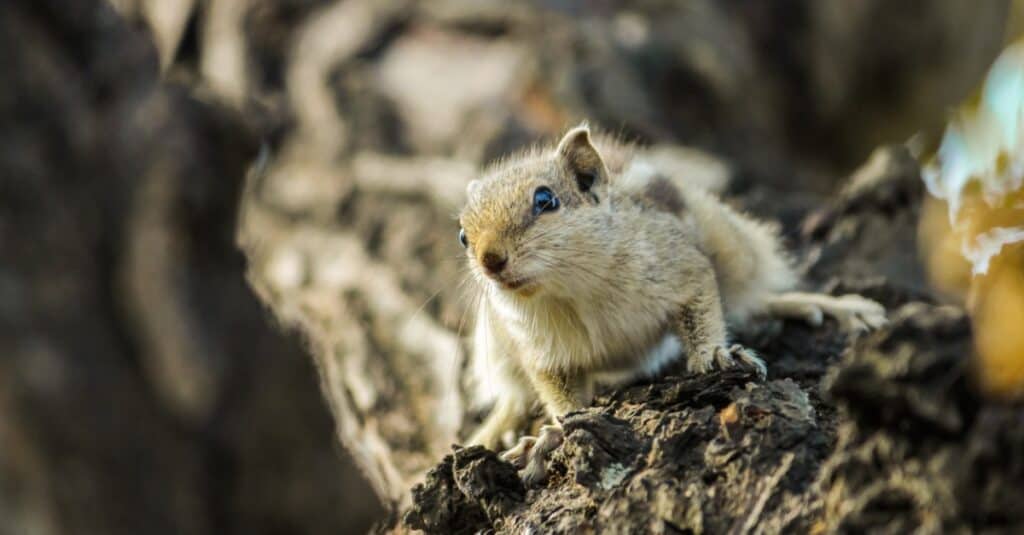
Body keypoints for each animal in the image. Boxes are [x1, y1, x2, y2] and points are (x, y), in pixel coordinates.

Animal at [458, 124, 888, 479]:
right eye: (463, 235)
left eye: (546, 200)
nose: (490, 260)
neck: (569, 289)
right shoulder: (542, 352)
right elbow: (561, 396)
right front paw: (550, 436)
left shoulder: (684, 269)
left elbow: (703, 307)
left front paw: (715, 354)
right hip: (494, 342)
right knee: (513, 394)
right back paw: (494, 428)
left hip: (730, 244)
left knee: (754, 296)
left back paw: (825, 306)